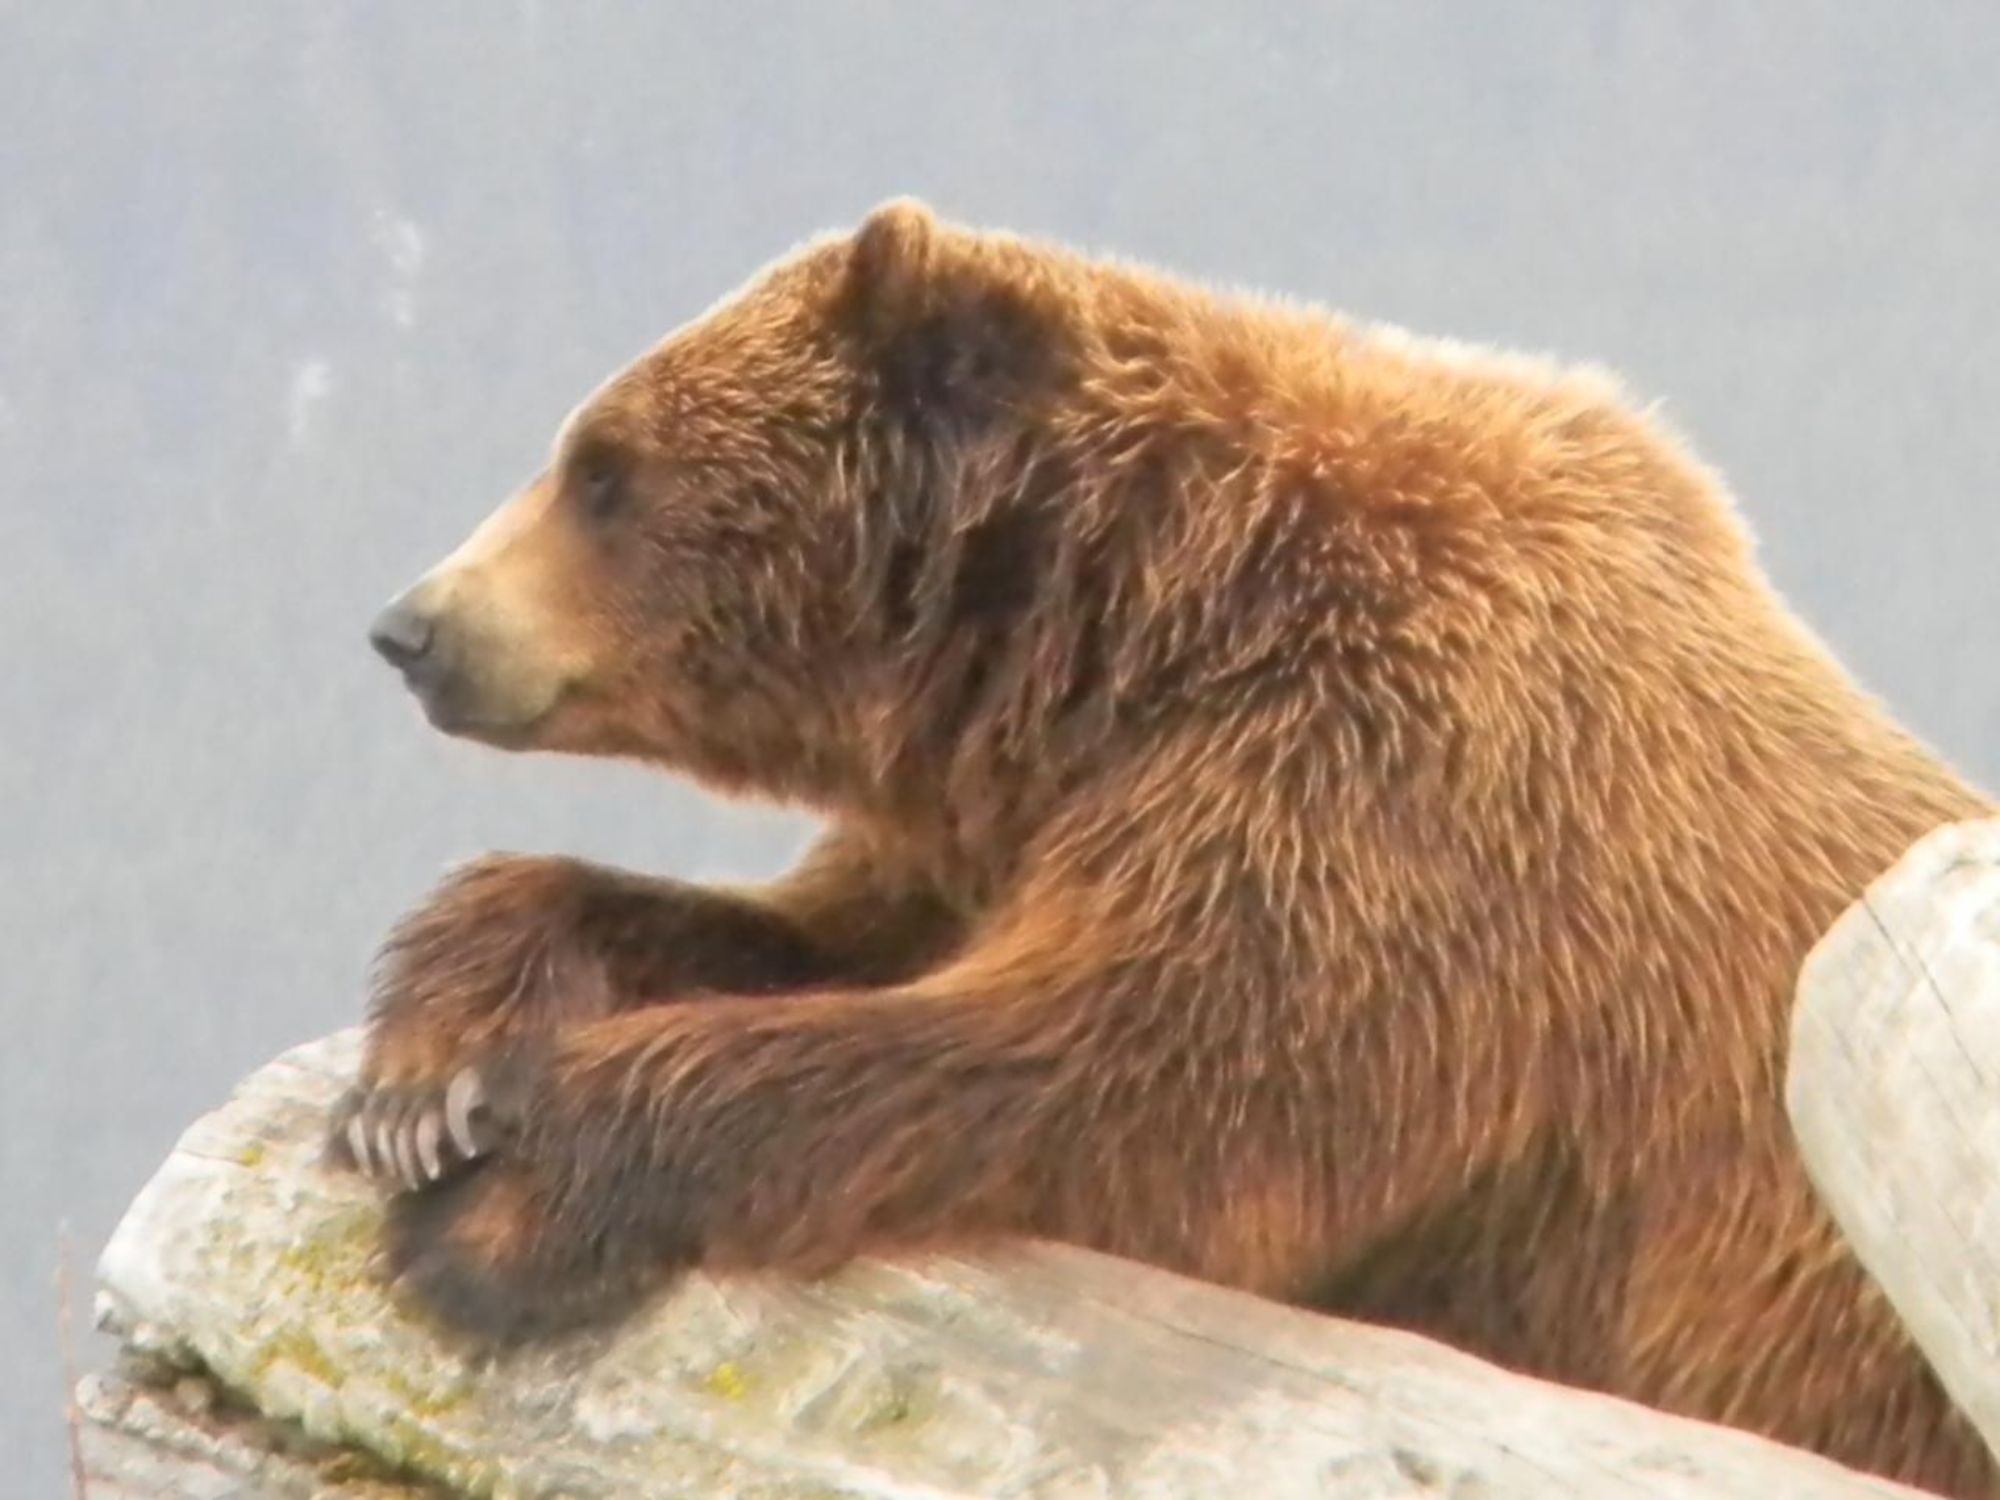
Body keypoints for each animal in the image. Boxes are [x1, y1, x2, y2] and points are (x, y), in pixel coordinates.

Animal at [336, 203, 1992, 1500]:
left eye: (602, 468)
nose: (413, 626)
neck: (1144, 633)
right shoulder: (1013, 813)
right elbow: (791, 928)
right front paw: (422, 1083)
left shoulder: (1390, 789)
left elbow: (1122, 1078)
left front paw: (509, 1183)